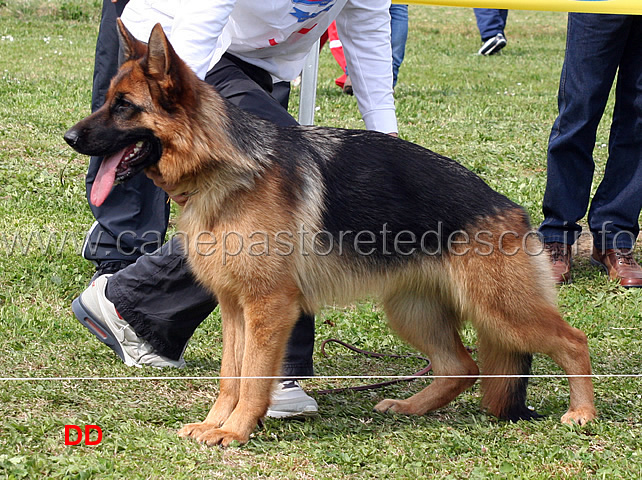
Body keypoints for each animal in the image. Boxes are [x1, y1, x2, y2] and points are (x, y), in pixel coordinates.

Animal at [66, 19, 596, 446]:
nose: (69, 138)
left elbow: (254, 375)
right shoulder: (236, 309)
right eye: (107, 101)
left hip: (501, 309)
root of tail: (508, 207)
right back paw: (410, 407)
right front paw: (218, 423)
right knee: (461, 367)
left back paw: (582, 413)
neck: (227, 168)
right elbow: (231, 375)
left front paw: (236, 431)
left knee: (573, 340)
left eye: (124, 106)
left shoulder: (269, 308)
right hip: (413, 312)